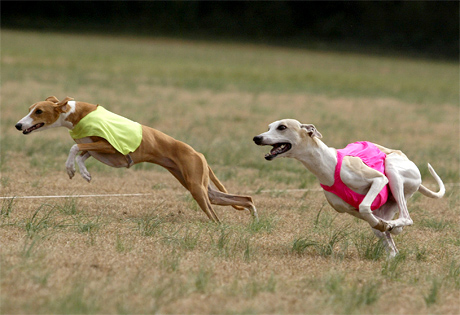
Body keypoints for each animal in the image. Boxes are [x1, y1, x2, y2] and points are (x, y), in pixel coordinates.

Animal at [15, 96, 258, 222]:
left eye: (38, 111)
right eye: (29, 109)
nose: (18, 125)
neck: (76, 113)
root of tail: (198, 153)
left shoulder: (110, 147)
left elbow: (75, 147)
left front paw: (71, 169)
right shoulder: (98, 149)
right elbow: (82, 152)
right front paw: (84, 173)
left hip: (197, 188)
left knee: (216, 215)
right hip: (200, 186)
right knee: (244, 198)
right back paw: (254, 219)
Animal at [253, 119, 444, 258]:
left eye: (282, 127)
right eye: (269, 127)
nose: (257, 138)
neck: (328, 165)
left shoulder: (378, 179)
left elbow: (366, 206)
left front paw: (384, 224)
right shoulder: (348, 209)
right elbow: (369, 216)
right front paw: (384, 225)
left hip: (393, 170)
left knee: (406, 217)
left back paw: (390, 225)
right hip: (389, 204)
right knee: (393, 241)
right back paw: (390, 243)